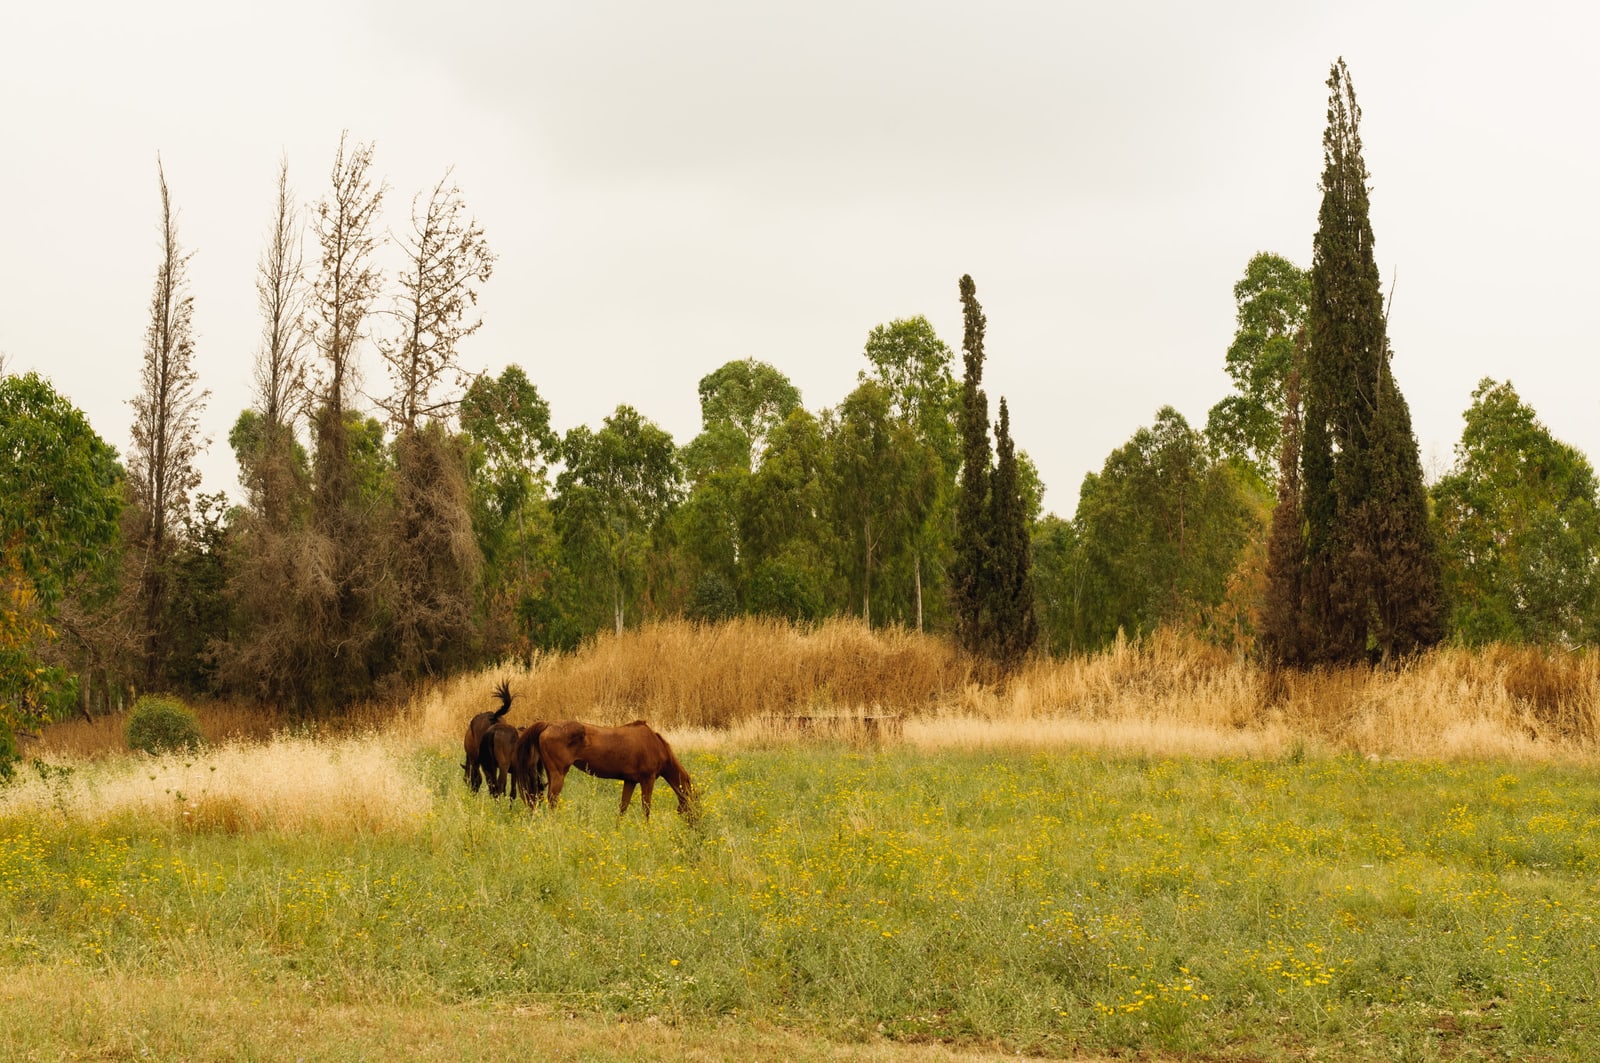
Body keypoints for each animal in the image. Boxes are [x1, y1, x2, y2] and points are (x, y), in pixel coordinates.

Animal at [513, 719, 693, 820]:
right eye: (694, 803)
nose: (695, 826)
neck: (655, 745)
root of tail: (548, 724)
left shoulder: (630, 781)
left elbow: (623, 808)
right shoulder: (647, 780)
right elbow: (646, 809)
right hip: (558, 775)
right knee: (552, 802)